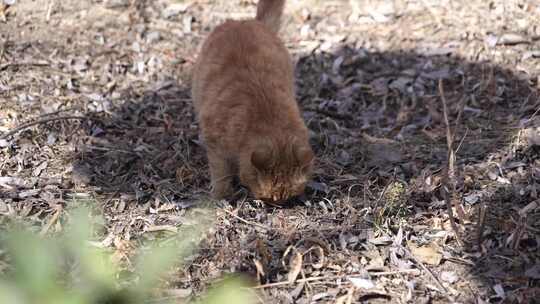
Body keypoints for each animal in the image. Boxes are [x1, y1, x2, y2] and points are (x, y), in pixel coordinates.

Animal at [192, 0, 314, 204]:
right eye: (270, 198)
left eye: (287, 197)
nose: (279, 205)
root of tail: (247, 22)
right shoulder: (215, 144)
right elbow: (220, 172)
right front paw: (221, 194)